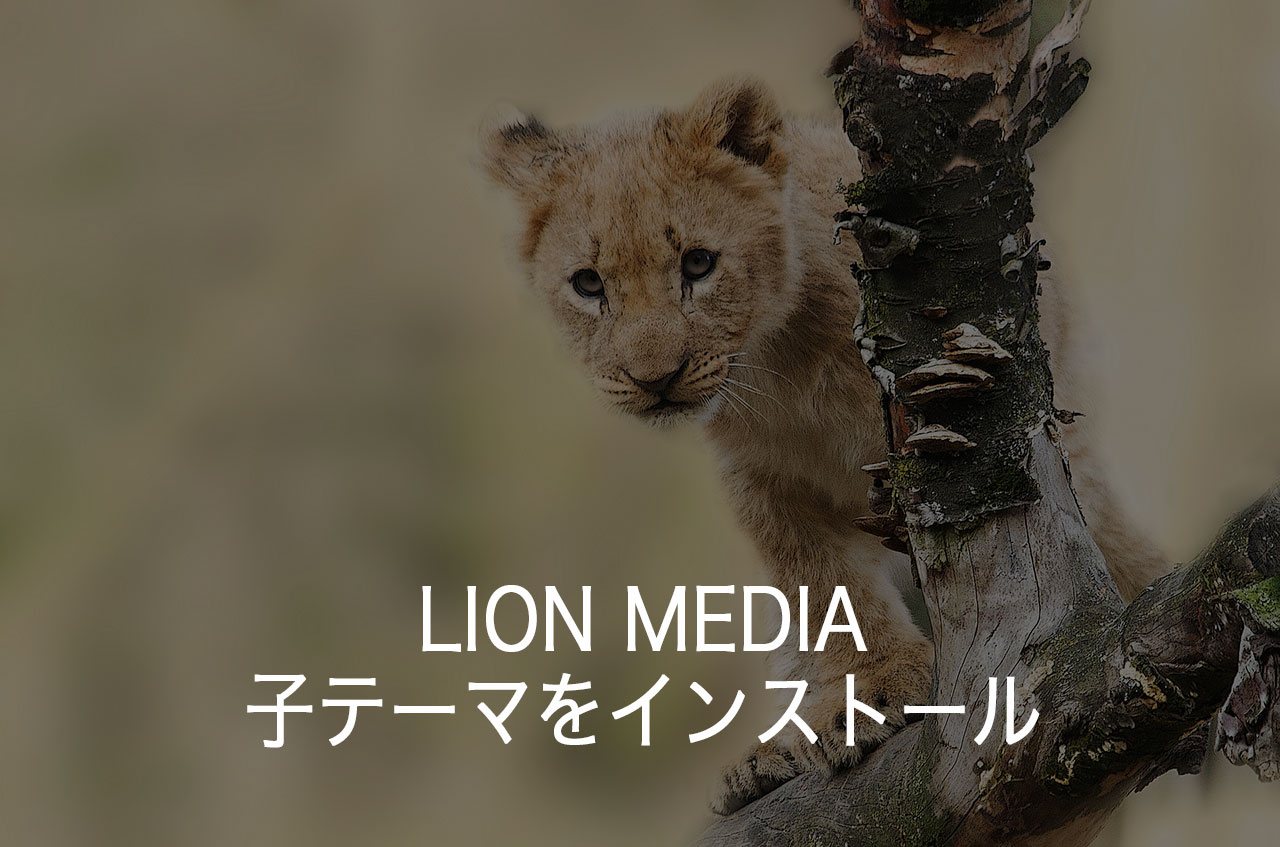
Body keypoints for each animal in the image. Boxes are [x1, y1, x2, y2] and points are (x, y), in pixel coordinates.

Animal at [481, 77, 1167, 814]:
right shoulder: (760, 479)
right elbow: (822, 587)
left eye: (698, 263)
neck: (776, 359)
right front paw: (867, 691)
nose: (653, 380)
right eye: (588, 283)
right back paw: (767, 759)